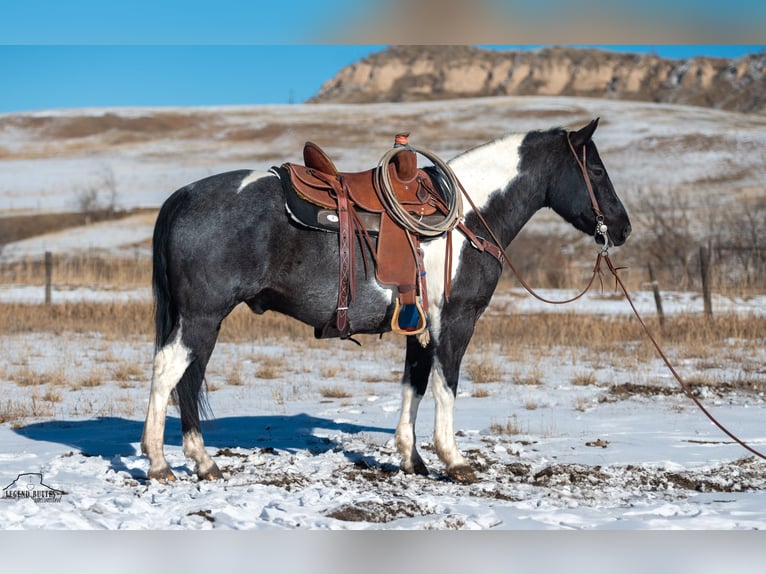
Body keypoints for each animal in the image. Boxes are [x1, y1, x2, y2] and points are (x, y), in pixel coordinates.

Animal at [141, 118, 632, 486]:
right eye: (598, 171)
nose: (623, 228)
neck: (466, 217)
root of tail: (182, 197)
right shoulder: (456, 321)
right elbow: (446, 385)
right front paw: (455, 460)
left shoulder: (419, 326)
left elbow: (413, 385)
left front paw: (411, 459)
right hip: (202, 316)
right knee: (169, 372)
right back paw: (161, 463)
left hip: (202, 320)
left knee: (187, 379)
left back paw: (202, 462)